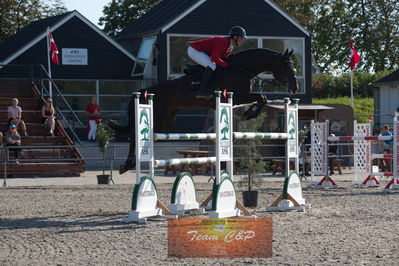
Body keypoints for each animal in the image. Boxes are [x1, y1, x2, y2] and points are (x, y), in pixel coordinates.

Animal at [114, 47, 298, 175]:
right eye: (287, 68)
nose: (295, 87)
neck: (241, 69)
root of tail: (147, 90)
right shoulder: (237, 96)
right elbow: (261, 97)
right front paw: (250, 114)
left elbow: (262, 98)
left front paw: (249, 113)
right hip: (158, 115)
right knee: (134, 134)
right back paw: (126, 165)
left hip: (166, 120)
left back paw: (130, 164)